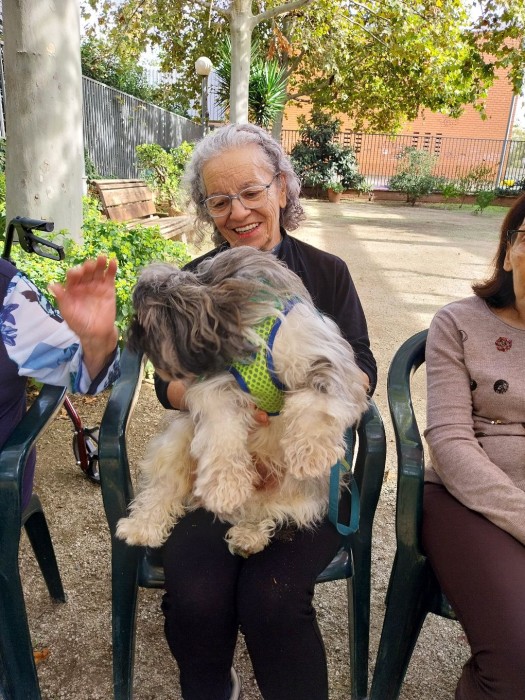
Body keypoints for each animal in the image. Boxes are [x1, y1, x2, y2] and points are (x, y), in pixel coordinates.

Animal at [116, 247, 369, 556]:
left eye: (142, 319)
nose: (131, 339)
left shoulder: (320, 355)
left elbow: (315, 403)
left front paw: (311, 453)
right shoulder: (216, 388)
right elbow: (222, 433)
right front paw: (224, 486)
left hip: (299, 493)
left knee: (262, 510)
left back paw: (249, 535)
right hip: (175, 442)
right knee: (163, 489)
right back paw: (142, 527)